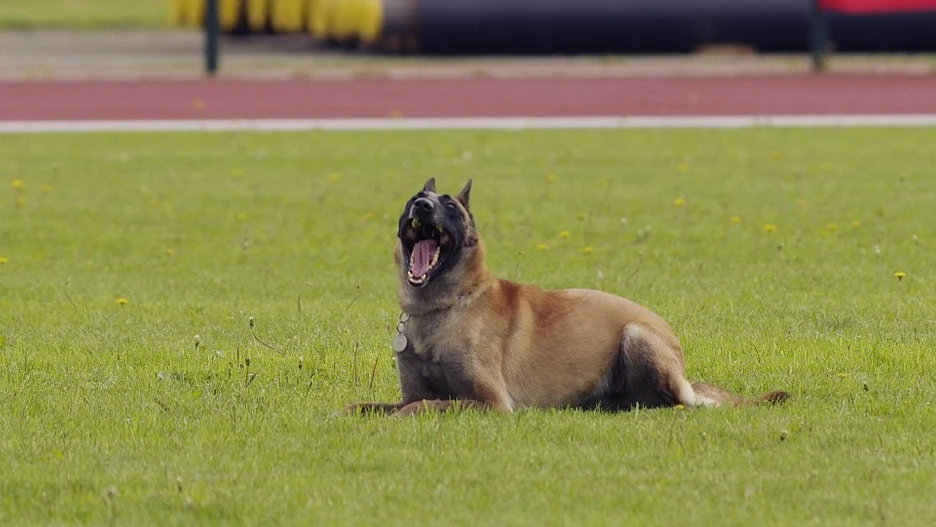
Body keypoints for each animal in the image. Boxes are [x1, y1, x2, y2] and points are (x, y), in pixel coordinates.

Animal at [344, 179, 788, 418]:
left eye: (449, 205)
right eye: (413, 198)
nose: (421, 205)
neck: (444, 306)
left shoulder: (490, 402)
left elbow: (423, 406)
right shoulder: (413, 391)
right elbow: (369, 405)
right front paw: (348, 413)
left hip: (636, 335)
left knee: (678, 403)